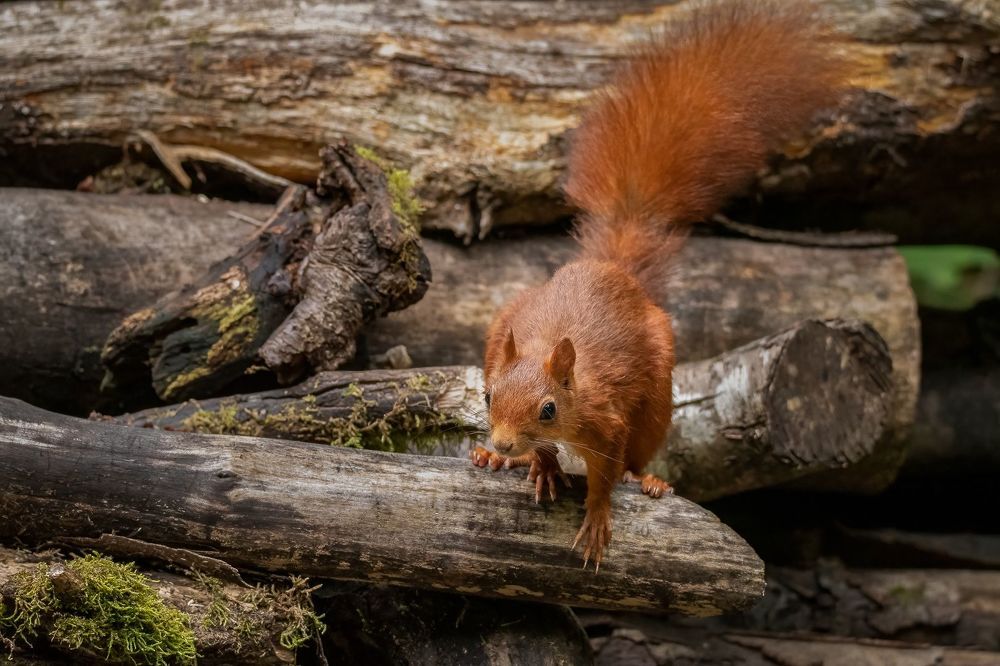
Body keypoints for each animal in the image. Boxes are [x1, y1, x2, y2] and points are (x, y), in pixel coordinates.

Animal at [470, 0, 847, 570]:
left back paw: (645, 480)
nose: (506, 441)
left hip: (658, 392)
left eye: (548, 409)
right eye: (489, 395)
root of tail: (615, 270)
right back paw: (496, 459)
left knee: (640, 450)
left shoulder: (607, 422)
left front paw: (597, 515)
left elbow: (605, 472)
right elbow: (551, 455)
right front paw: (541, 465)